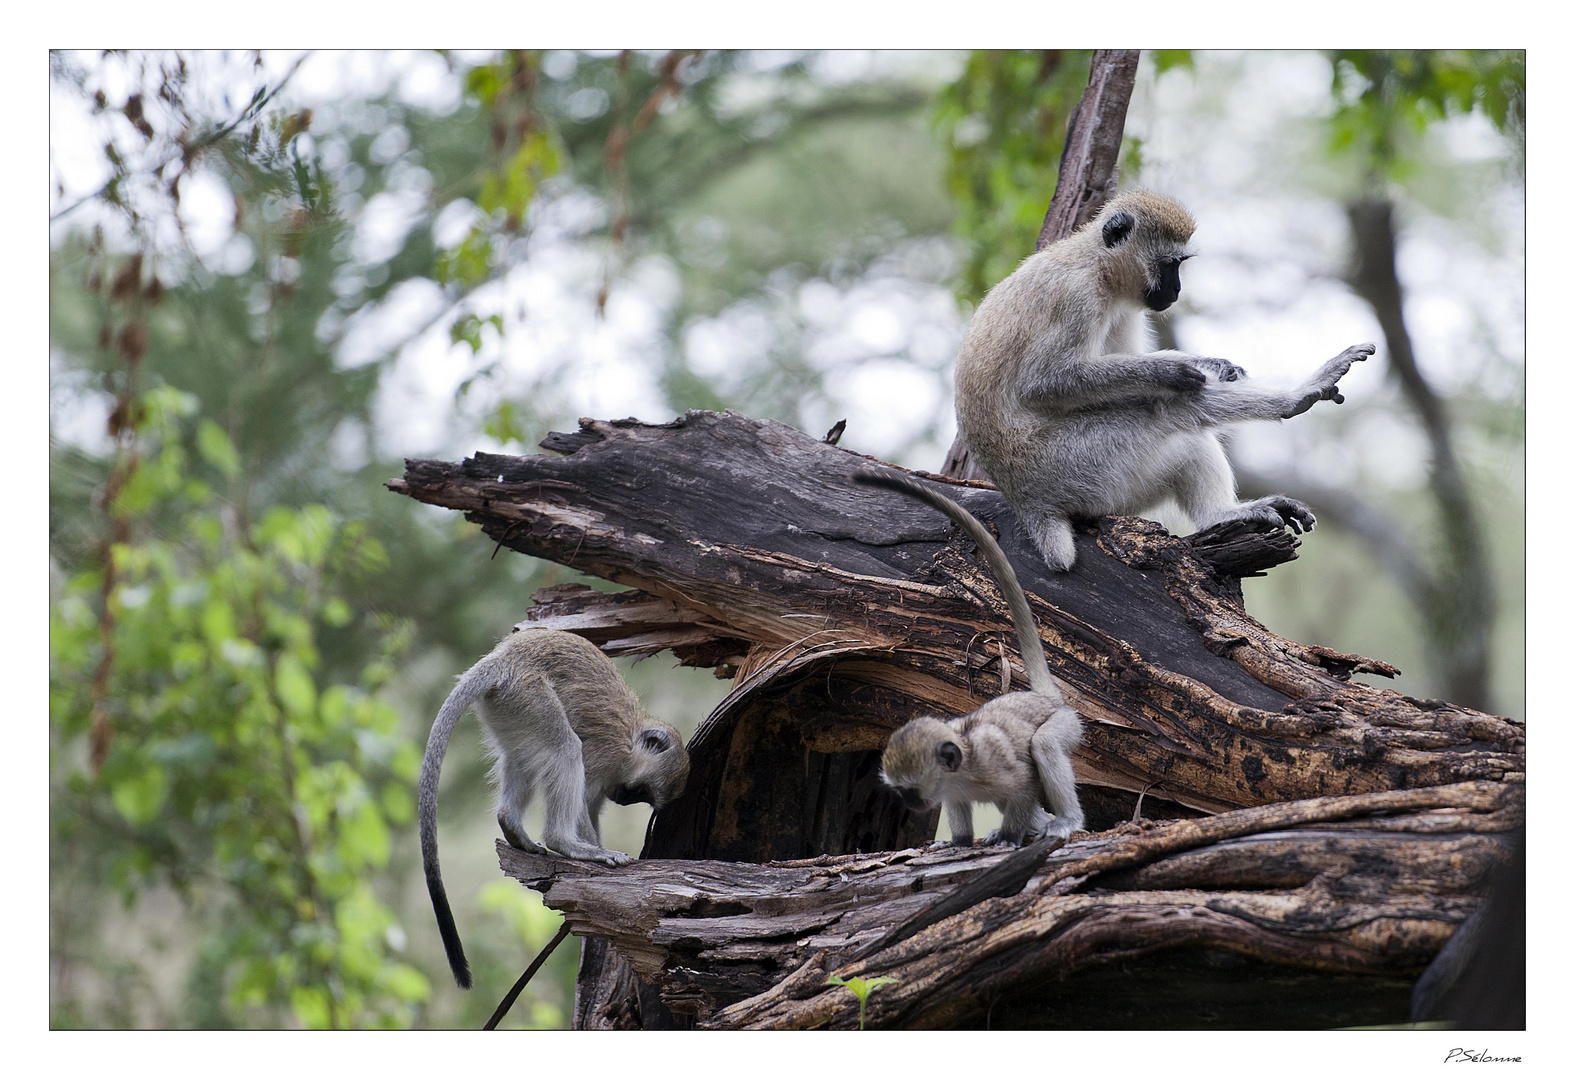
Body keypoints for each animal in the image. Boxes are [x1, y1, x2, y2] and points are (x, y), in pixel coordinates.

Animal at [850, 469, 1083, 850]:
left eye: (910, 790)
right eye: (900, 791)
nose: (910, 804)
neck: (963, 766)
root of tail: (1043, 698)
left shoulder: (994, 760)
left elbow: (1025, 781)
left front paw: (1010, 837)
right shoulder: (953, 789)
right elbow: (959, 809)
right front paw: (958, 842)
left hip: (1067, 722)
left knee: (1045, 745)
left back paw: (1064, 821)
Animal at [945, 189, 1379, 569]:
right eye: (1171, 264)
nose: (1177, 289)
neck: (1097, 264)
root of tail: (1025, 499)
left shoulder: (1122, 306)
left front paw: (1213, 363)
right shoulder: (1075, 296)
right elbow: (1044, 383)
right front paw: (1169, 372)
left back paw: (1222, 514)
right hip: (1074, 464)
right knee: (1170, 409)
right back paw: (1294, 398)